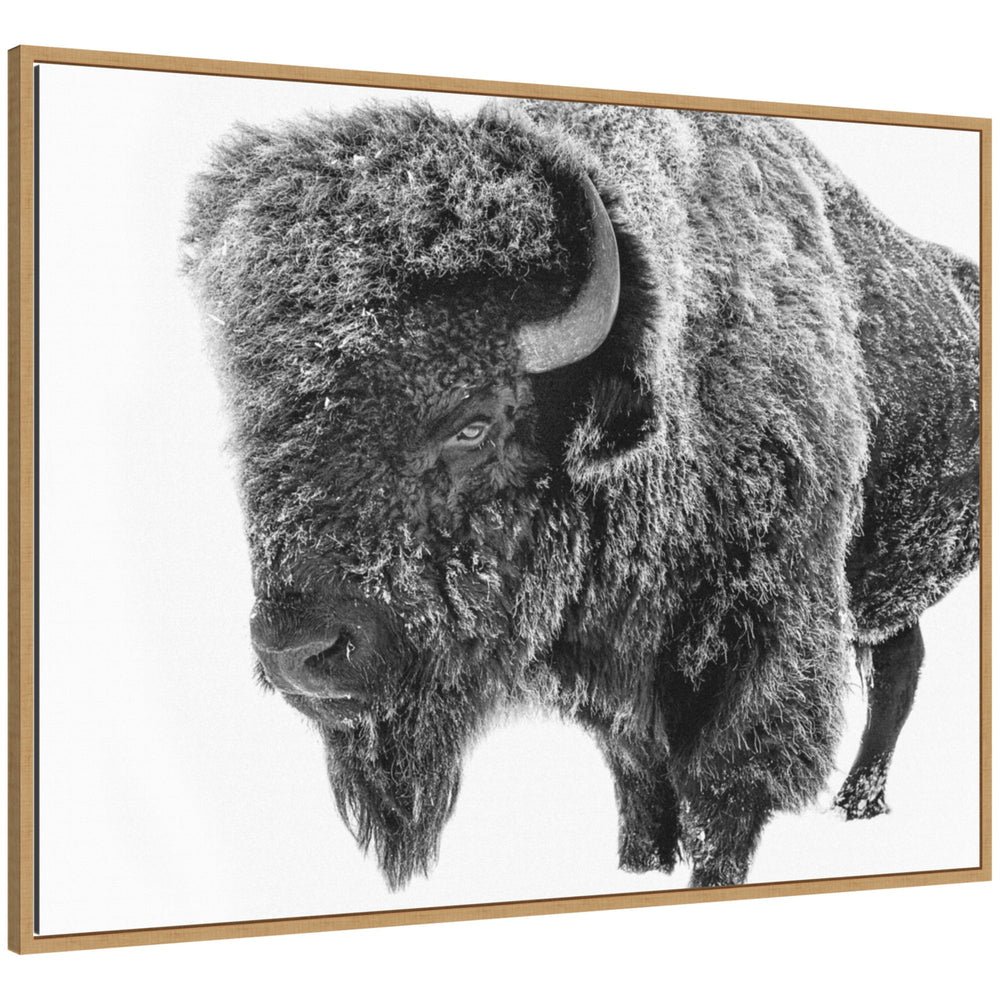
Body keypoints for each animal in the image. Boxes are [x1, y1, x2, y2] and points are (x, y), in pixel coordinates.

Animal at [182, 100, 979, 889]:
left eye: (472, 420)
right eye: (257, 423)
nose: (300, 649)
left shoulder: (759, 654)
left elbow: (722, 796)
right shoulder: (612, 687)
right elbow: (641, 787)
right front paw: (640, 866)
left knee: (896, 672)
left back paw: (860, 803)